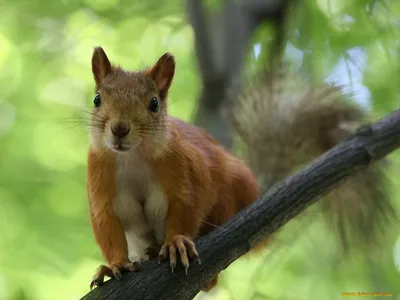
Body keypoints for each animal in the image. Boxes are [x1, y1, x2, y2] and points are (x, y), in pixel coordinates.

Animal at [86, 47, 260, 290]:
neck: (132, 156)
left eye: (154, 103)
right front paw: (114, 265)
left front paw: (176, 242)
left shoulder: (186, 171)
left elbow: (186, 207)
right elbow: (106, 227)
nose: (119, 129)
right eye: (97, 99)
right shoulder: (100, 185)